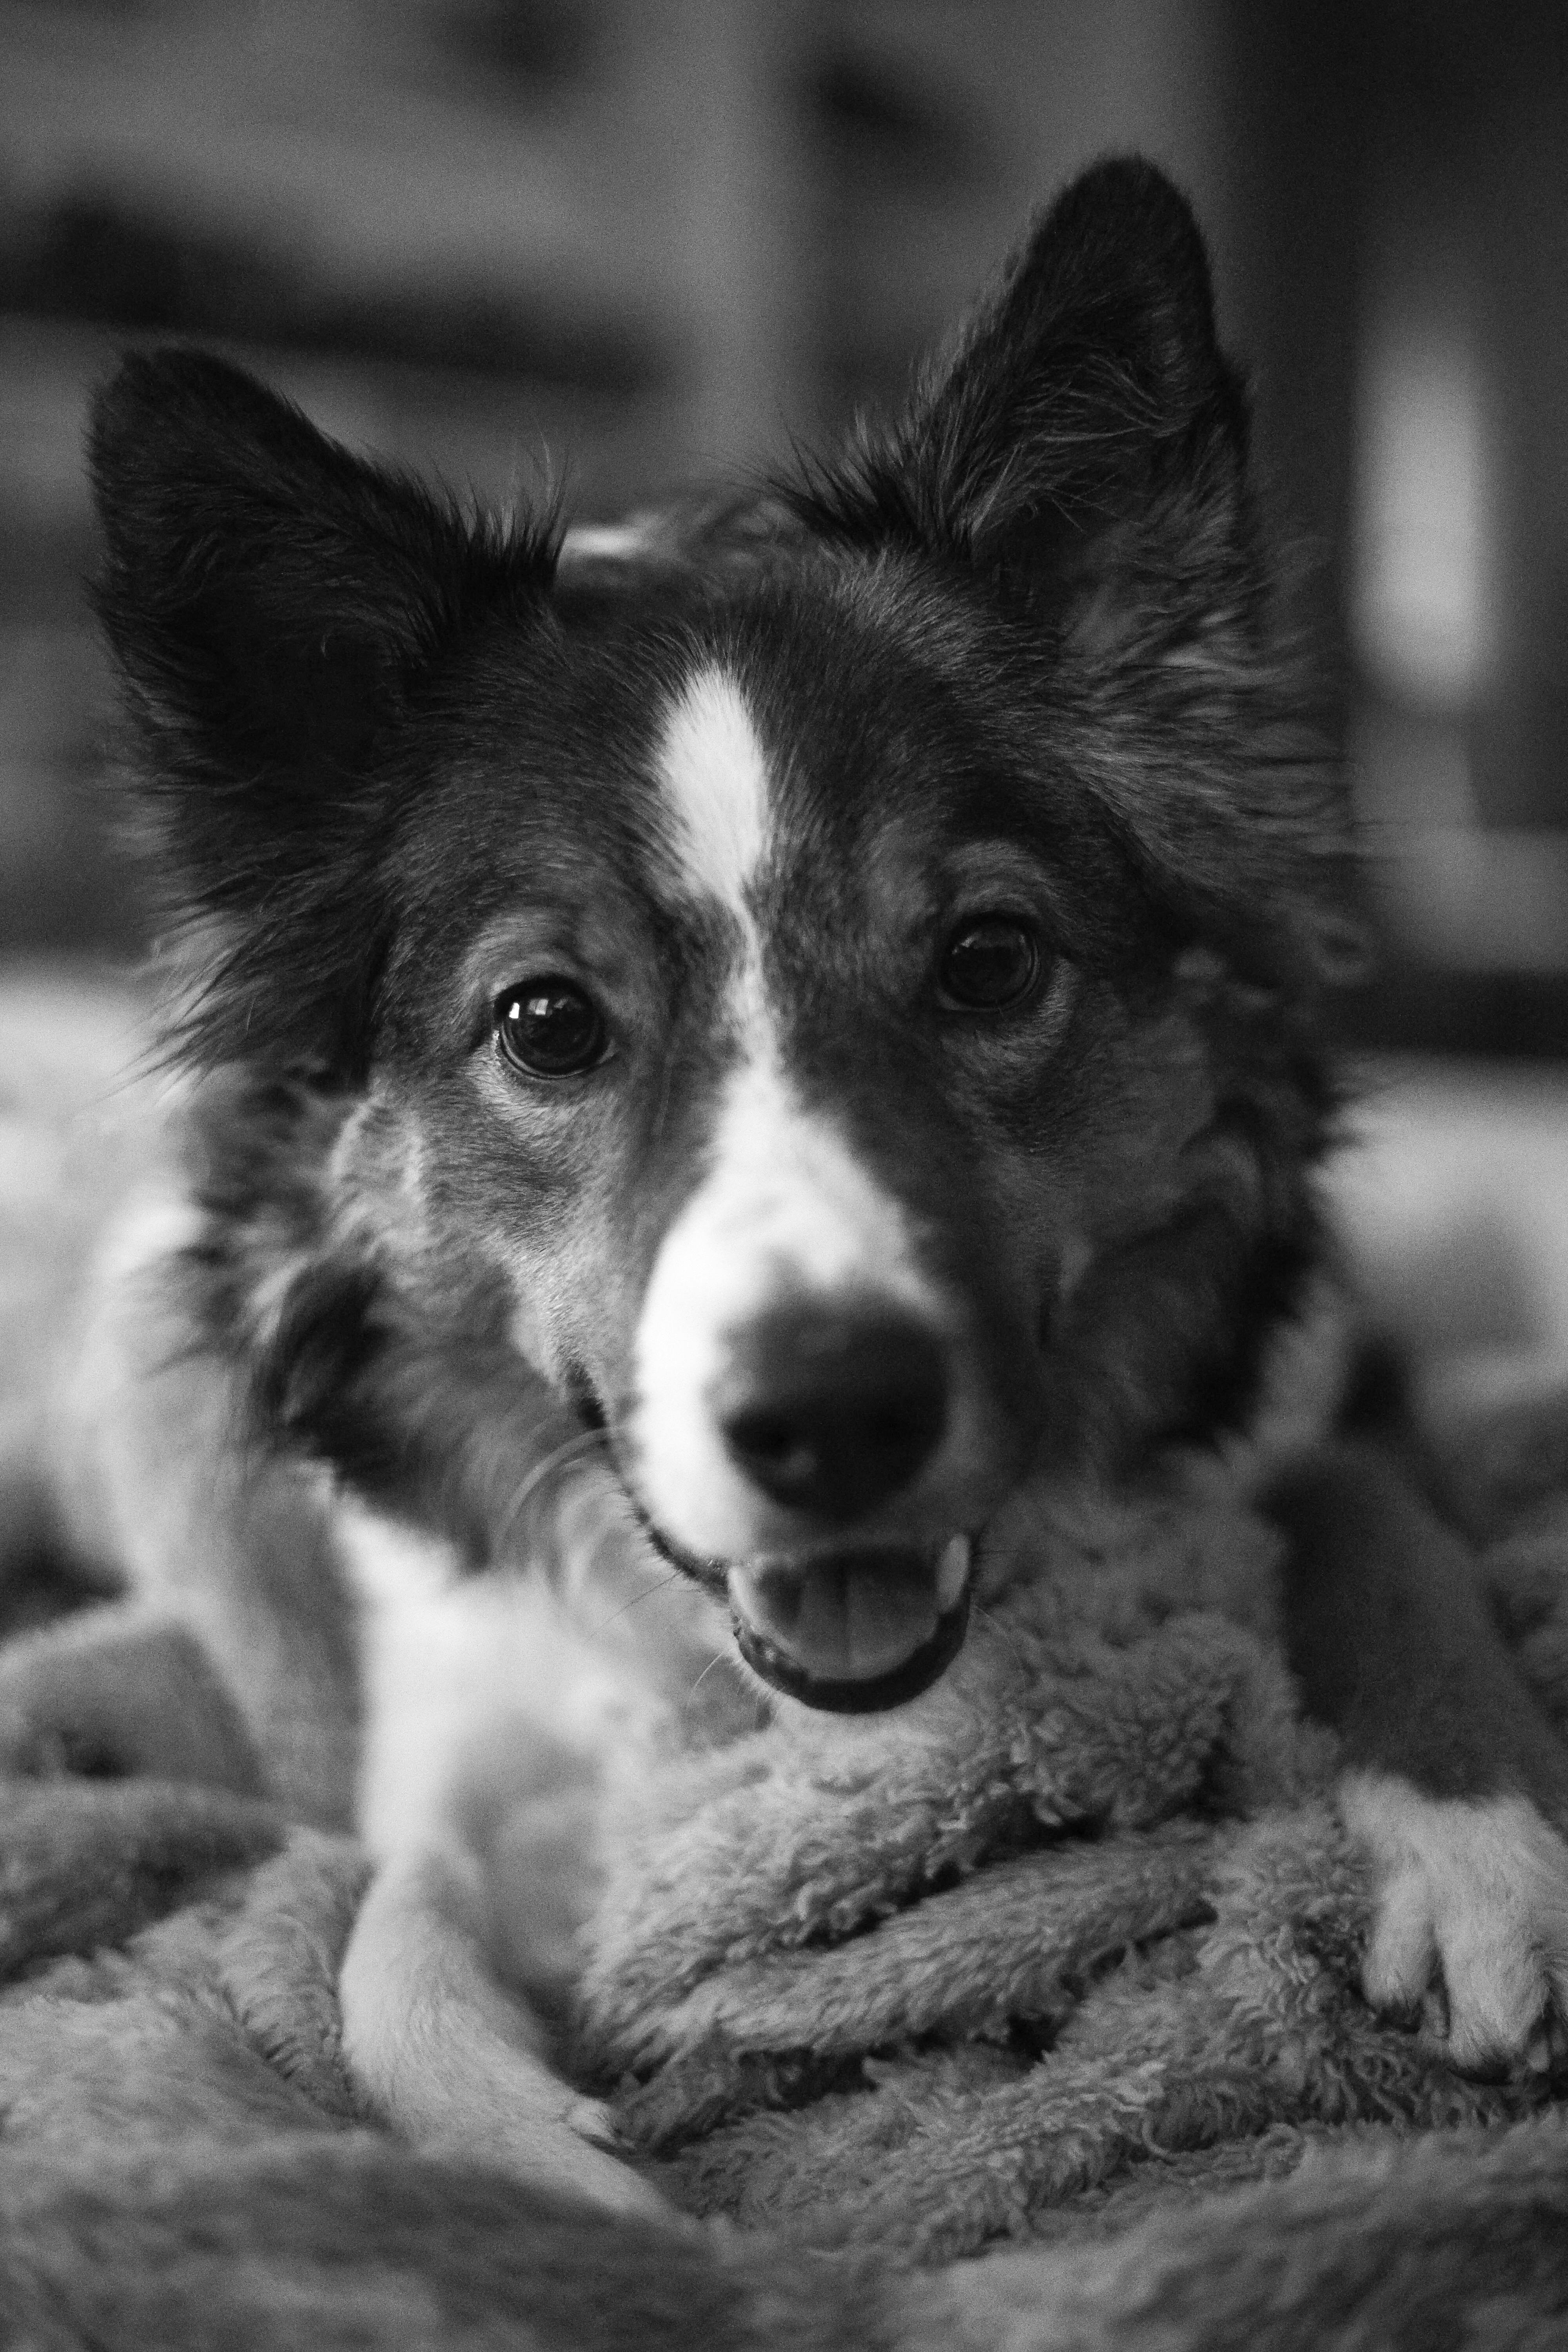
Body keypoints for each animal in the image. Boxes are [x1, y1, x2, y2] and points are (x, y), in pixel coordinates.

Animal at [15, 156, 1568, 2192]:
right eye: (545, 1020)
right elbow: (380, 1937)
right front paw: (544, 2162)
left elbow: (1366, 1513)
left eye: (986, 960)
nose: (833, 1419)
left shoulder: (1324, 1368)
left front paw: (1475, 1842)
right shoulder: (449, 1687)